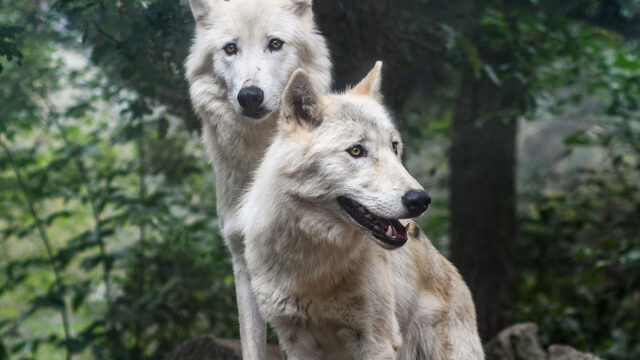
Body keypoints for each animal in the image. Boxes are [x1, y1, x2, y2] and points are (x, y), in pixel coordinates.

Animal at [240, 63, 484, 358]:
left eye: (394, 146)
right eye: (356, 151)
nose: (420, 200)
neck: (313, 266)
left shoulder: (376, 339)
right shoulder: (295, 341)